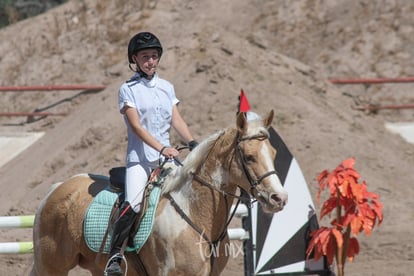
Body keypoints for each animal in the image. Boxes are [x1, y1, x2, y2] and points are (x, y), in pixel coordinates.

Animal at [30, 110, 288, 276]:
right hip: (52, 267)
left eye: (274, 153)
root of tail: (58, 187)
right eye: (249, 157)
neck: (194, 213)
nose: (279, 198)